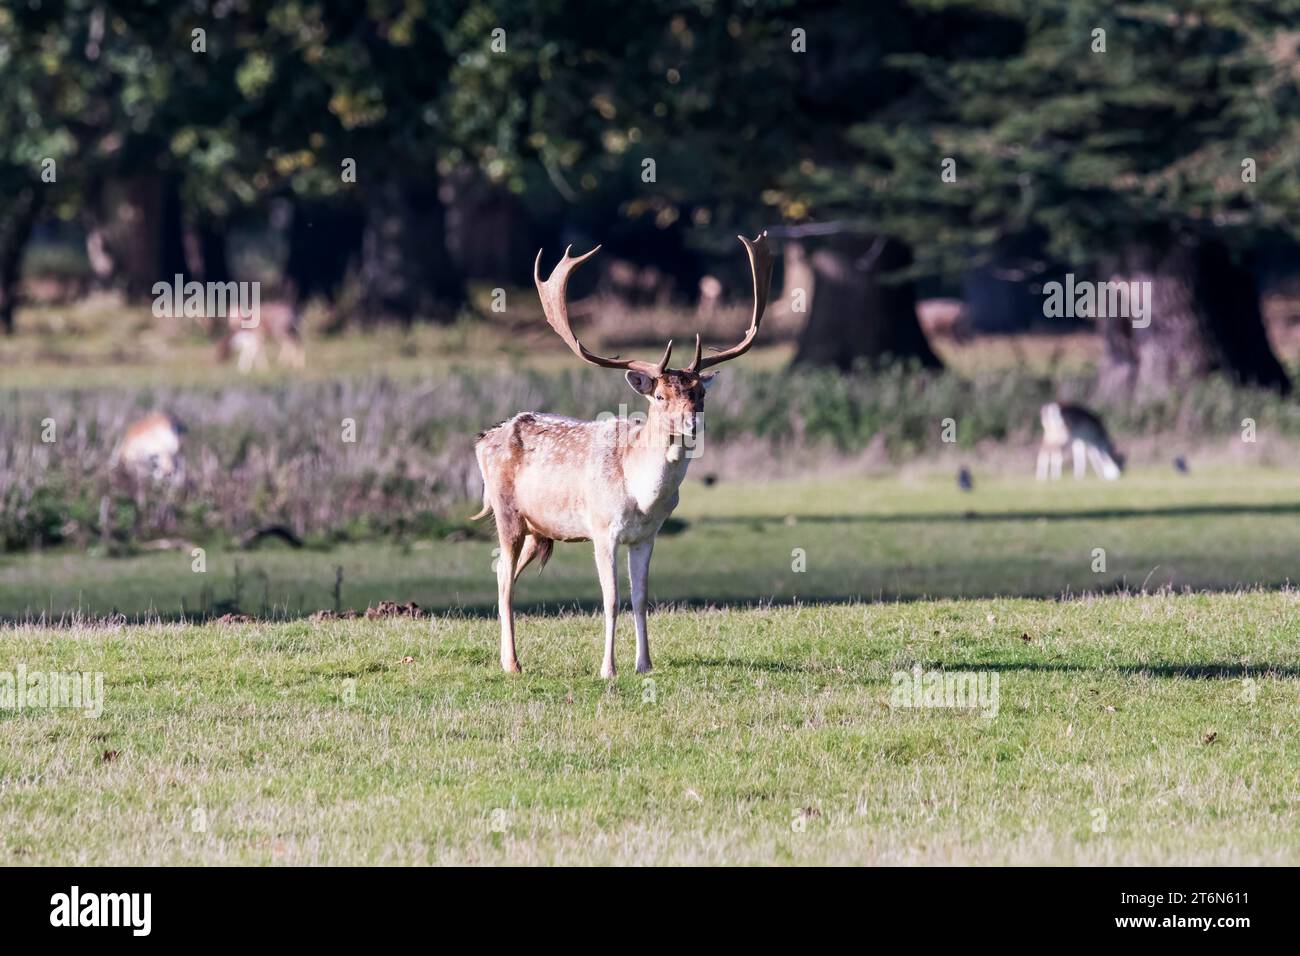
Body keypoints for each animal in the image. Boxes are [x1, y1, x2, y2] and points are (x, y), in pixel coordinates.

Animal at [473, 232, 773, 677]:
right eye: (661, 396)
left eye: (700, 394)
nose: (691, 425)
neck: (640, 494)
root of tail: (482, 439)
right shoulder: (602, 530)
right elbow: (611, 600)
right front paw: (607, 669)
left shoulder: (647, 535)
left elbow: (640, 598)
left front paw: (644, 664)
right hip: (506, 512)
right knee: (504, 578)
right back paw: (512, 663)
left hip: (539, 528)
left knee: (499, 573)